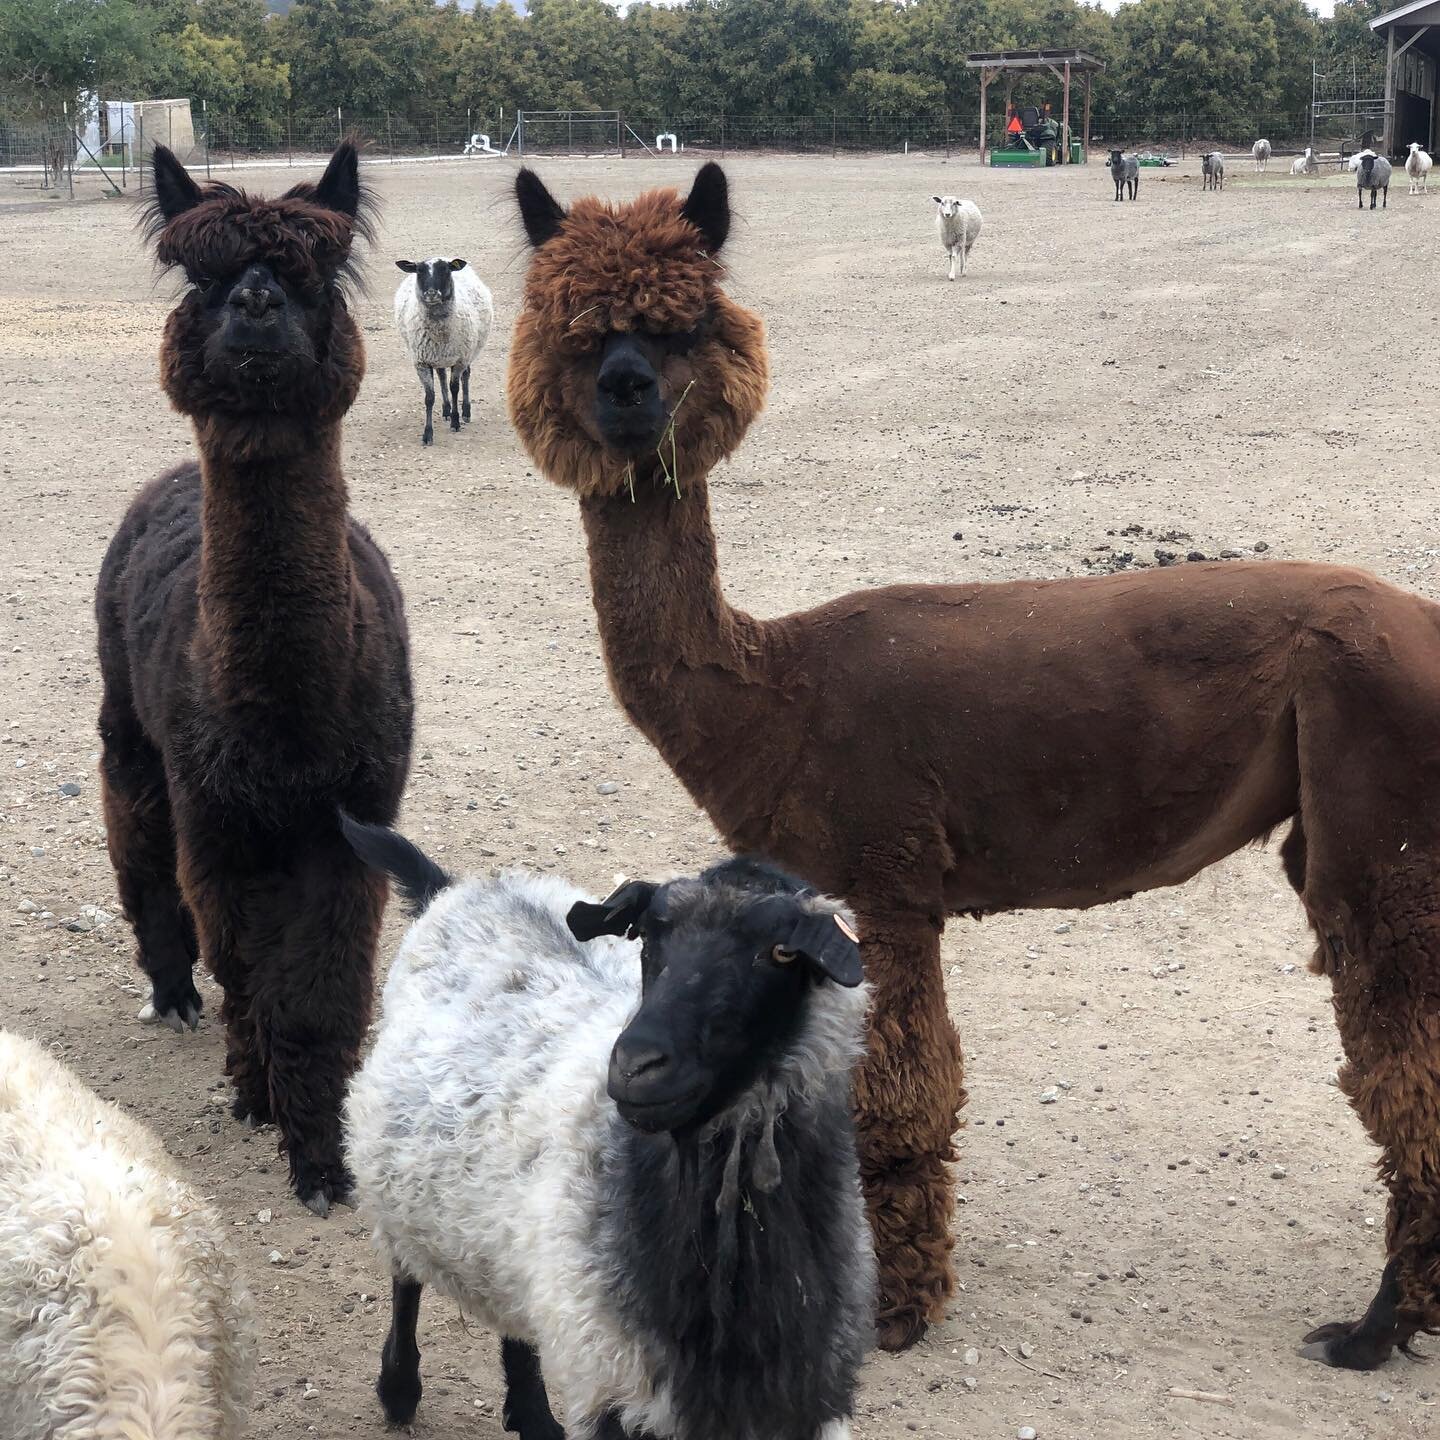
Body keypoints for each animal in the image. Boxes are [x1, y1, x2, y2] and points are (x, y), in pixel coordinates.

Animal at [342, 823, 869, 1440]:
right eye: (648, 939)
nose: (635, 1064)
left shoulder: (802, 1401)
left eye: (783, 951)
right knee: (405, 1278)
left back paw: (531, 1414)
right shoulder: (614, 1386)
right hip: (395, 1175)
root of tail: (458, 889)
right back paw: (399, 1388)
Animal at [394, 254, 495, 443]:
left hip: (468, 350)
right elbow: (429, 397)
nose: (431, 293)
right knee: (441, 376)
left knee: (466, 377)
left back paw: (465, 412)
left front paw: (456, 421)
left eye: (446, 270)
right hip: (439, 357)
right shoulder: (422, 362)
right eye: (419, 271)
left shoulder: (460, 359)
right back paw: (446, 409)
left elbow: (455, 388)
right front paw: (428, 433)